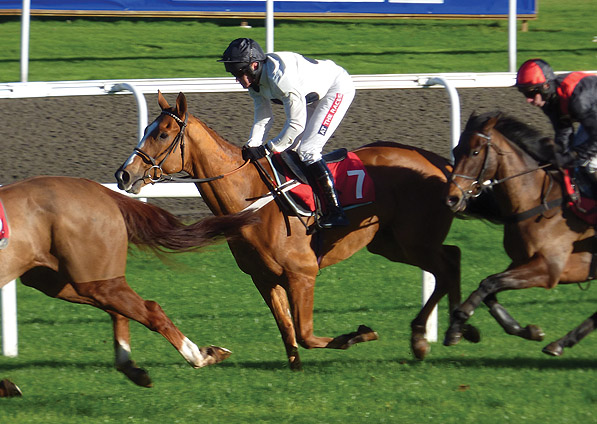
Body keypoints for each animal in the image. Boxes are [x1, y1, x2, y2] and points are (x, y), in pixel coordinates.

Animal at [0, 175, 254, 388]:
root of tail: (97, 188)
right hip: (60, 279)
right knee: (121, 311)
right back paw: (133, 367)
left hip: (92, 279)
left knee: (149, 309)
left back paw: (199, 356)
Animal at [115, 91, 480, 370]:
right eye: (147, 129)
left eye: (162, 134)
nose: (124, 174)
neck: (251, 197)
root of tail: (441, 163)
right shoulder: (264, 278)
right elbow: (288, 332)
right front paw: (295, 368)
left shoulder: (302, 274)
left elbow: (304, 334)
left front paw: (358, 335)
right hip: (392, 243)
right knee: (452, 258)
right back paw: (451, 330)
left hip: (413, 239)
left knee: (447, 265)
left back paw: (434, 334)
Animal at [444, 111, 592, 356]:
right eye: (455, 150)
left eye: (475, 151)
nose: (452, 198)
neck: (535, 202)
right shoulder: (521, 261)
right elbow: (489, 288)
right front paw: (526, 330)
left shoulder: (549, 269)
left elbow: (489, 283)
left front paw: (457, 324)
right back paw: (560, 343)